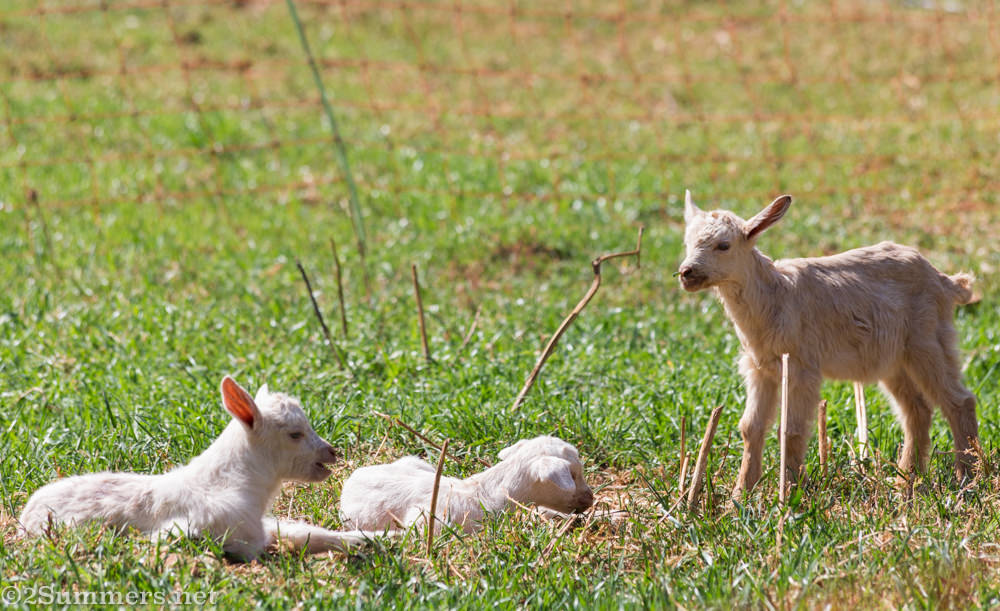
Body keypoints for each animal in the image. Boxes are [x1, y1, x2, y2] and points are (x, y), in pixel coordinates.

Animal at [19, 376, 379, 560]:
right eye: (295, 434)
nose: (332, 453)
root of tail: (26, 513)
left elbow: (306, 533)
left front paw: (371, 539)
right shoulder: (203, 528)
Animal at [678, 191, 979, 497]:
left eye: (723, 246)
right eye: (687, 243)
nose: (686, 272)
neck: (776, 296)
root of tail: (946, 282)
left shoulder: (801, 367)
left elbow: (791, 430)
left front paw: (791, 492)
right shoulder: (760, 368)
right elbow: (751, 426)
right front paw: (741, 493)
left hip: (928, 341)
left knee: (959, 400)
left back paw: (967, 477)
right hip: (893, 361)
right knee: (917, 410)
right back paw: (905, 481)